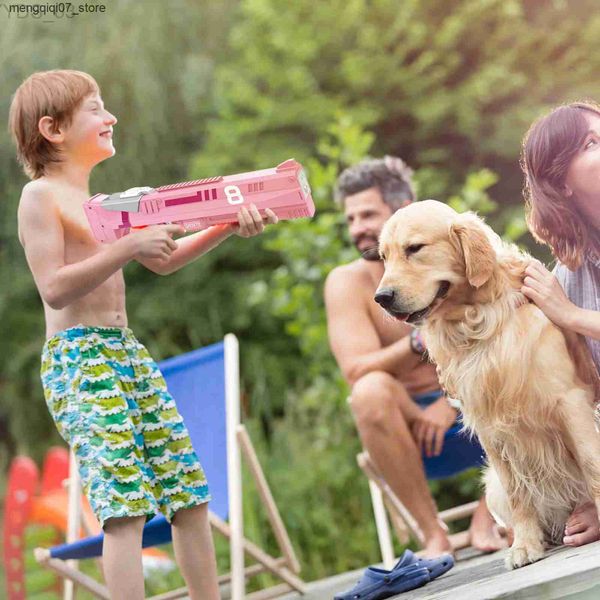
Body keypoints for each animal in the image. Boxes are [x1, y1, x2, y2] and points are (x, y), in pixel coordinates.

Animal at [376, 199, 600, 568]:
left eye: (414, 248)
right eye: (383, 256)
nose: (381, 297)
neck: (476, 321)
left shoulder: (569, 401)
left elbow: (591, 462)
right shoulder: (491, 426)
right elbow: (518, 490)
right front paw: (525, 545)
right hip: (491, 486)